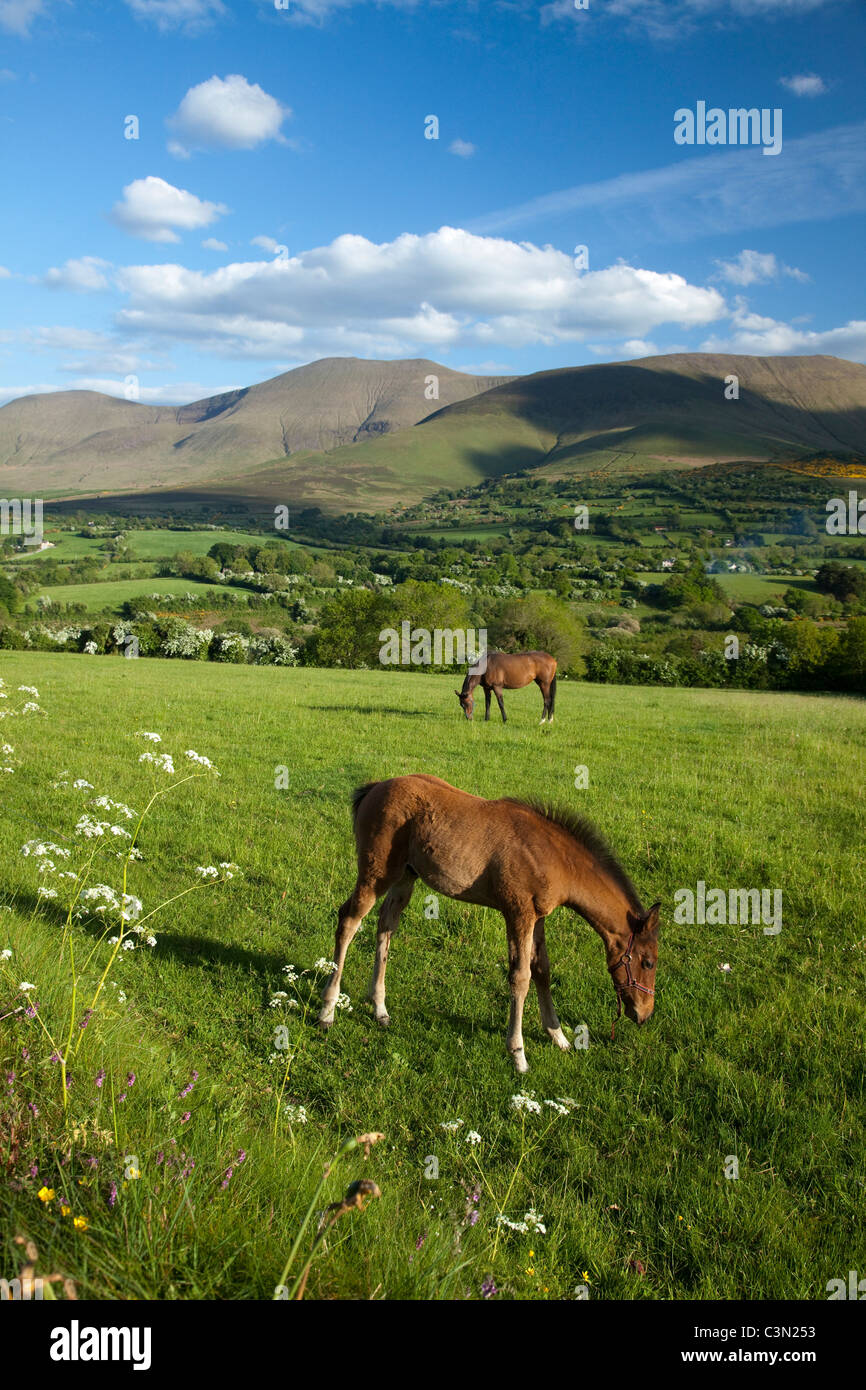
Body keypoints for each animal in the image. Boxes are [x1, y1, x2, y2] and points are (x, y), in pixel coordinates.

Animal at [319, 778, 664, 1067]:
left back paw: (380, 1009)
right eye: (648, 962)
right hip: (376, 874)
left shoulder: (538, 917)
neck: (552, 857)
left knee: (385, 926)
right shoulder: (518, 912)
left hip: (406, 876)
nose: (645, 1014)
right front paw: (518, 1054)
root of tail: (373, 788)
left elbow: (542, 969)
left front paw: (559, 1036)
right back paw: (327, 1010)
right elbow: (521, 977)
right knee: (348, 921)